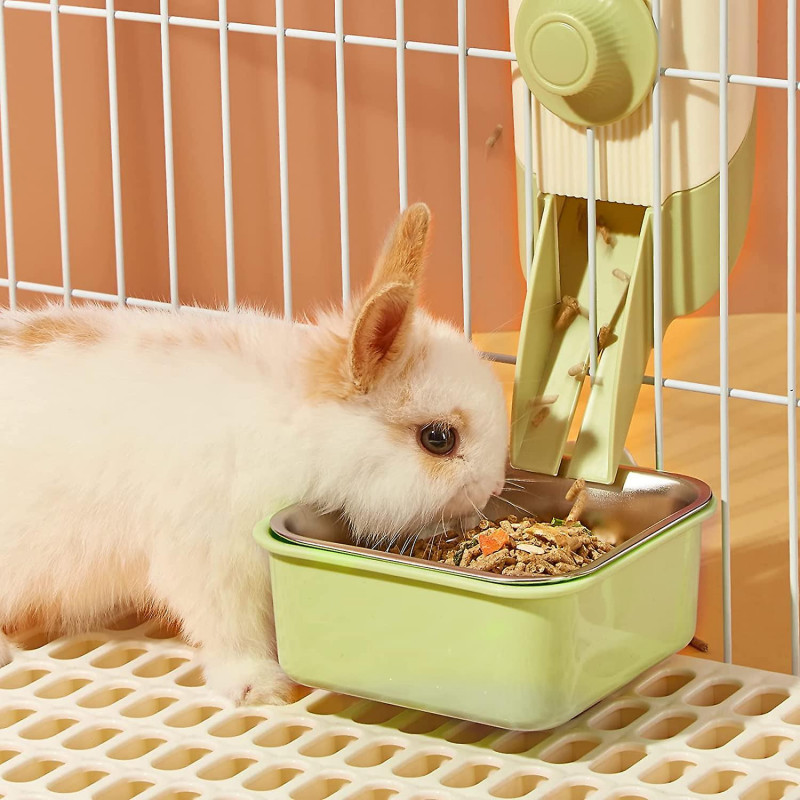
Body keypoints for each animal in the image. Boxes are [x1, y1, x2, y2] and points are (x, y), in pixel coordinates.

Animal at [0, 203, 509, 705]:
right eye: (438, 439)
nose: (493, 488)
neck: (298, 430)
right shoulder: (211, 559)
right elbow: (230, 629)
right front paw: (260, 687)